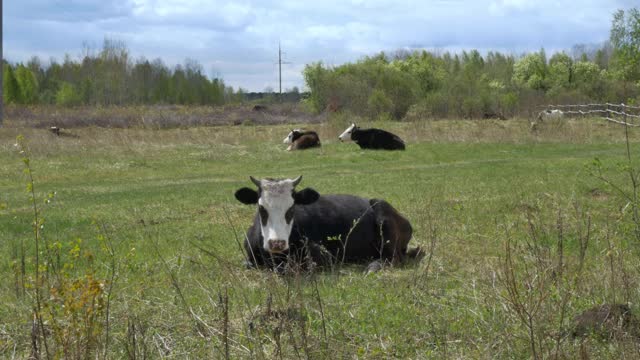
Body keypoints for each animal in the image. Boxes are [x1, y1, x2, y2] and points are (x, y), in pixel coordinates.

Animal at [235, 175, 420, 272]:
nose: (277, 243)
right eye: (261, 208)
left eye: (292, 208)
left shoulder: (324, 256)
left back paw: (373, 267)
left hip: (381, 210)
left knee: (394, 258)